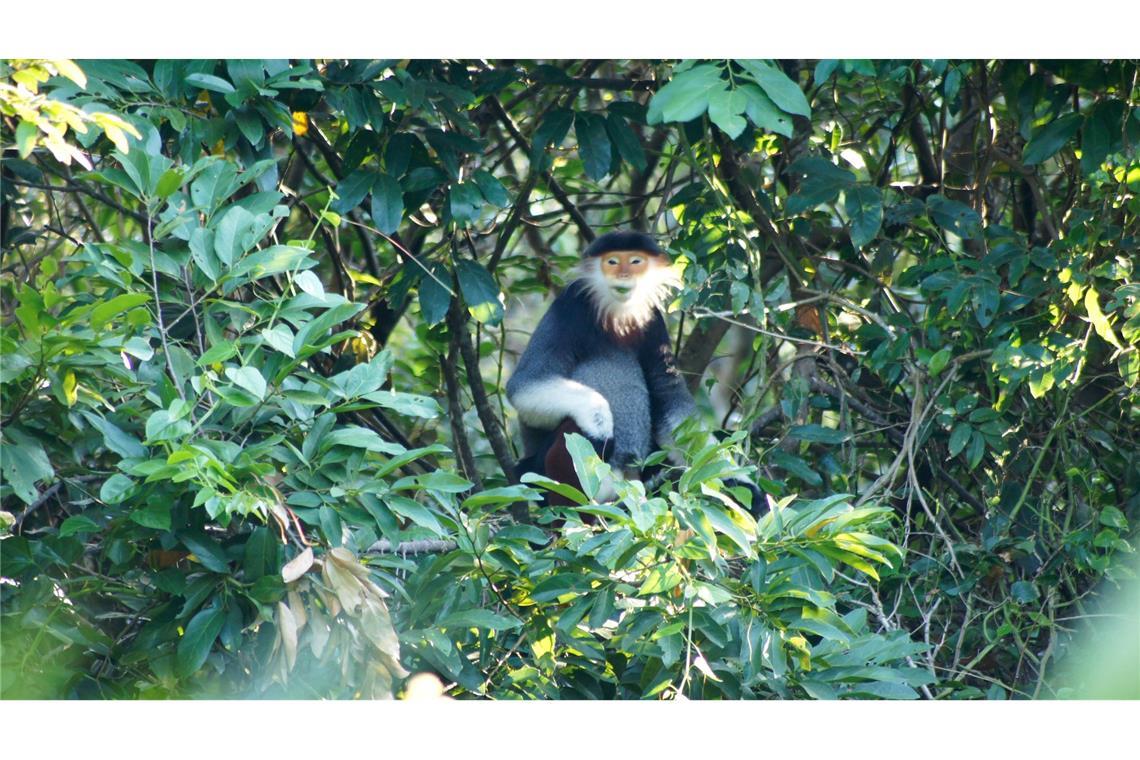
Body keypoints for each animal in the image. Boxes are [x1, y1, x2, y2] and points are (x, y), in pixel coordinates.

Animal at [503, 232, 761, 515]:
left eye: (636, 261)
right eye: (612, 262)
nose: (624, 275)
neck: (618, 317)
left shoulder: (654, 323)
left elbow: (672, 404)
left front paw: (745, 486)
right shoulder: (569, 307)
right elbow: (524, 384)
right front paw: (599, 425)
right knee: (571, 432)